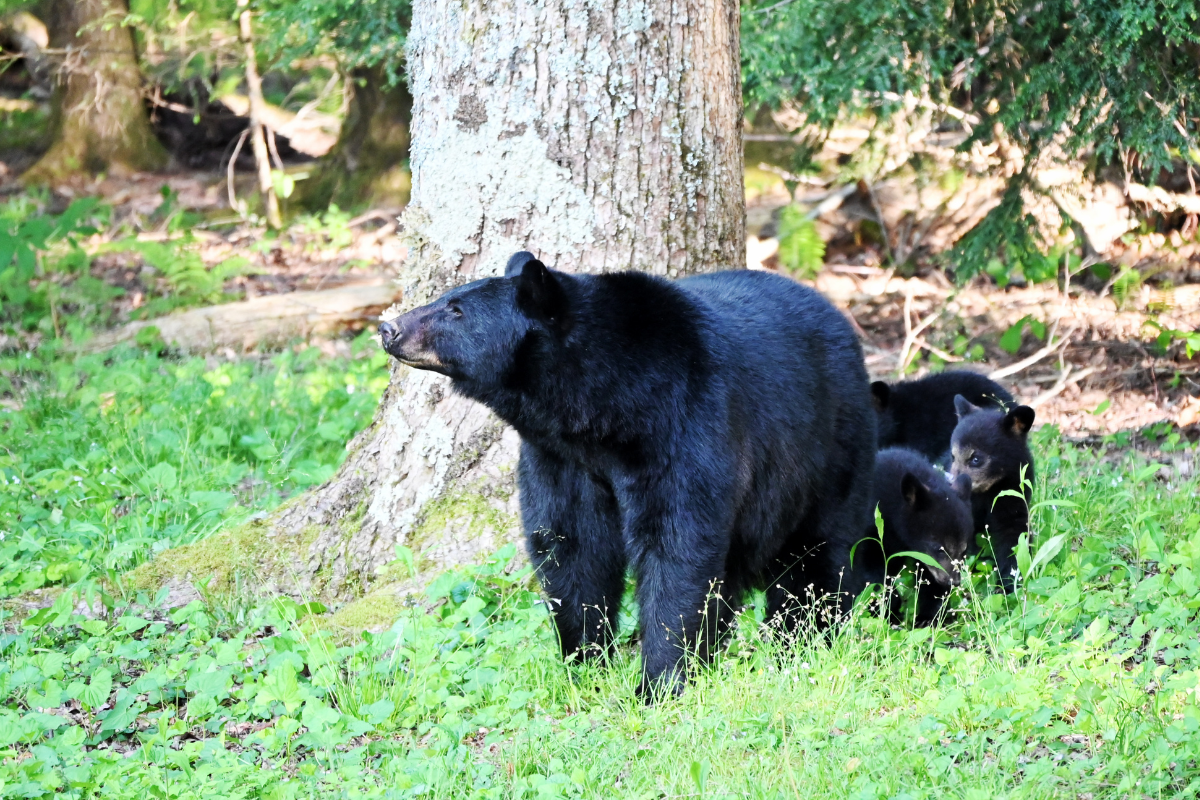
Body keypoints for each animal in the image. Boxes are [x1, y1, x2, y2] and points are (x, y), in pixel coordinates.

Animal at [379, 253, 878, 695]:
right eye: (447, 297)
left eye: (456, 310)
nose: (389, 327)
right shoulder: (559, 458)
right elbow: (571, 544)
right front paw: (583, 662)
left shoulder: (685, 422)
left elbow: (676, 543)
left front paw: (658, 681)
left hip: (829, 444)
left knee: (816, 554)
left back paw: (802, 639)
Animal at [859, 448, 969, 623]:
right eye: (939, 548)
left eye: (964, 550)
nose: (954, 582)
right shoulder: (872, 529)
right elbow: (872, 568)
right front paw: (888, 608)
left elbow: (929, 576)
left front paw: (929, 616)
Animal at [950, 395, 1036, 587]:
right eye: (953, 456)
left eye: (975, 458)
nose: (951, 484)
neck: (988, 491)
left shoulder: (1013, 494)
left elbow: (1014, 536)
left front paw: (1009, 583)